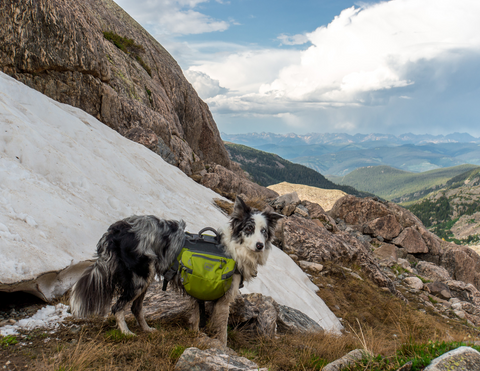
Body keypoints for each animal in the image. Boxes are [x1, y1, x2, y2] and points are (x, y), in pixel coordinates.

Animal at [70, 198, 282, 346]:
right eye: (249, 228)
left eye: (264, 231)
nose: (260, 245)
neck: (234, 249)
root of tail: (115, 229)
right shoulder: (223, 300)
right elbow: (222, 329)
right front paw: (222, 348)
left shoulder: (202, 292)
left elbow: (197, 318)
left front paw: (196, 335)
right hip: (138, 278)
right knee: (118, 307)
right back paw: (126, 333)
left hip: (145, 278)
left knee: (136, 308)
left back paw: (148, 330)